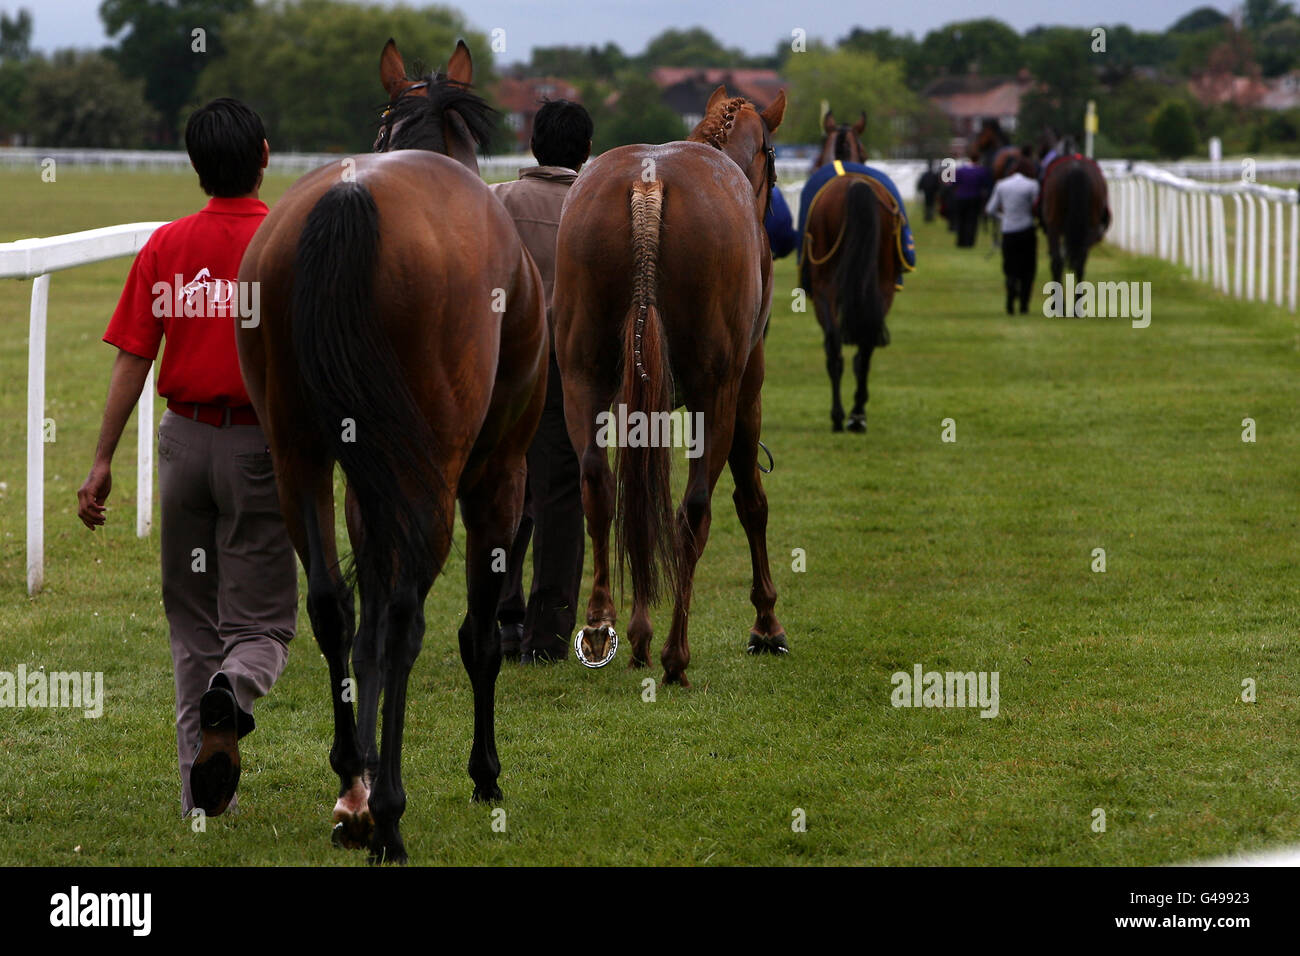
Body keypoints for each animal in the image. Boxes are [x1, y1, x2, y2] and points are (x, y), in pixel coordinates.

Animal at [236, 39, 546, 868]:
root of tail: (352, 199)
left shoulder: (363, 482)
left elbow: (363, 612)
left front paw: (362, 779)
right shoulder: (497, 474)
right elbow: (476, 635)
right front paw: (483, 772)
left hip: (299, 456)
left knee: (332, 606)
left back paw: (355, 782)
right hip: (435, 475)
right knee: (408, 617)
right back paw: (392, 817)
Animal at [553, 83, 785, 686]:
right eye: (773, 156)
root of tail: (648, 183)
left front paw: (637, 628)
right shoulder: (746, 389)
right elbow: (751, 501)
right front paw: (766, 624)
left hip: (582, 377)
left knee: (601, 488)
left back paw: (604, 627)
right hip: (716, 396)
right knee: (693, 510)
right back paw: (675, 654)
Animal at [800, 109, 904, 434]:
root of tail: (855, 186)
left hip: (826, 290)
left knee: (836, 346)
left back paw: (840, 414)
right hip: (881, 287)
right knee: (866, 346)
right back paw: (857, 414)